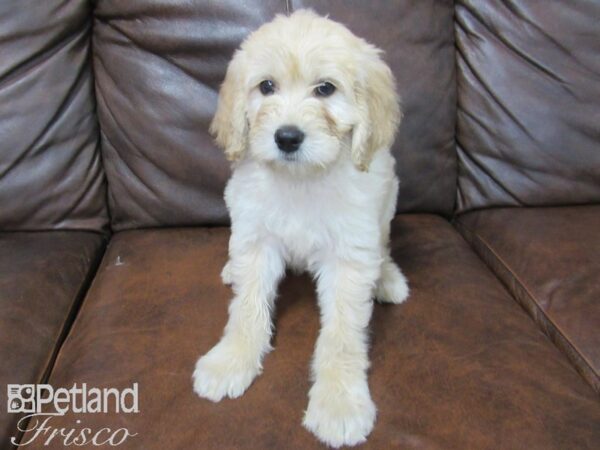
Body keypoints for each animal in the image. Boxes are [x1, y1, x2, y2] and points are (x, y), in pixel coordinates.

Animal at [195, 9, 410, 446]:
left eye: (325, 89)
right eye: (266, 87)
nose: (287, 137)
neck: (301, 179)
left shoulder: (348, 257)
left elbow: (342, 335)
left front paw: (339, 402)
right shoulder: (256, 240)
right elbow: (246, 309)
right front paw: (231, 360)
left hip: (386, 204)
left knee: (383, 246)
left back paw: (386, 278)